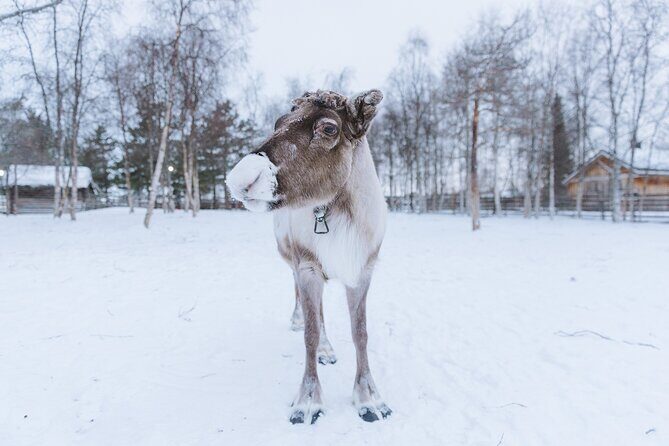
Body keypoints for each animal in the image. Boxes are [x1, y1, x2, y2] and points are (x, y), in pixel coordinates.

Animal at [226, 89, 391, 424]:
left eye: (328, 128)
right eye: (279, 122)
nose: (241, 179)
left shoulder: (363, 271)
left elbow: (361, 333)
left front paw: (370, 399)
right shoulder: (308, 268)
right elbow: (310, 335)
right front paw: (308, 402)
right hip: (294, 261)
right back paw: (305, 328)